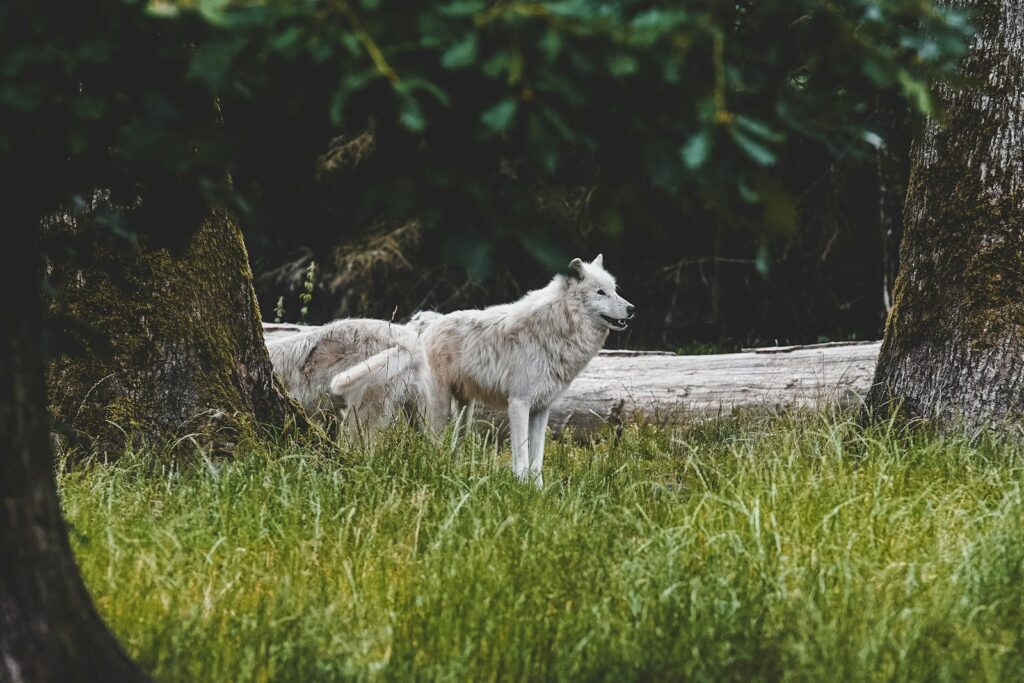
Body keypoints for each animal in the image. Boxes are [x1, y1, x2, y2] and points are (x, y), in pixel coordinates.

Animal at [417, 254, 634, 487]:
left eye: (614, 290)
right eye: (601, 292)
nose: (632, 308)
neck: (555, 328)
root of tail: (430, 325)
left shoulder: (542, 409)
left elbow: (536, 458)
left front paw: (538, 489)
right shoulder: (519, 404)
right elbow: (521, 453)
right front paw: (520, 485)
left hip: (466, 411)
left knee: (454, 444)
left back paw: (455, 473)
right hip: (440, 408)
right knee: (430, 443)